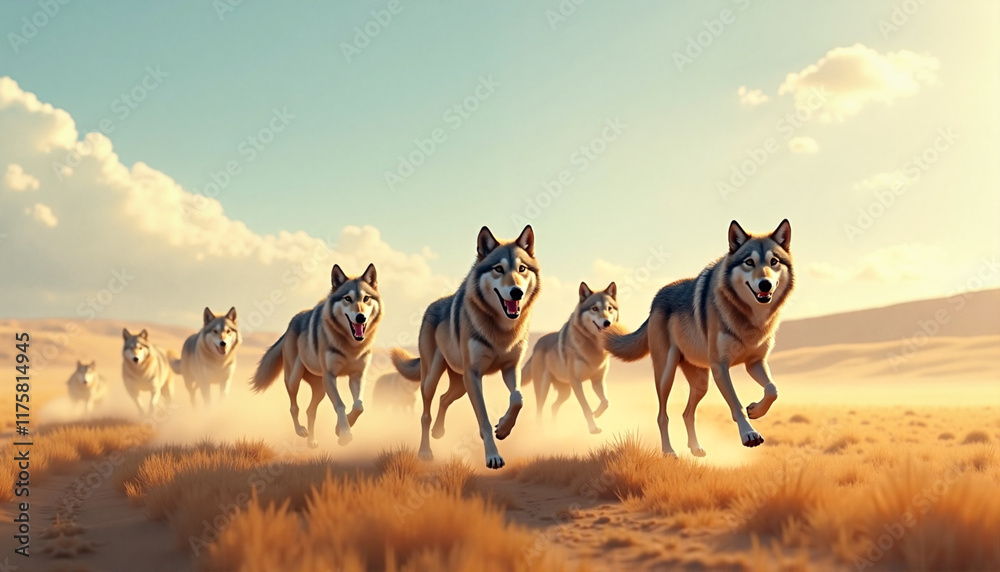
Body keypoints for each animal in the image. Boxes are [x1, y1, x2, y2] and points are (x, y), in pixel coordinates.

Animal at [251, 264, 381, 447]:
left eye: (366, 298)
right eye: (347, 298)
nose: (361, 317)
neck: (351, 346)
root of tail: (290, 324)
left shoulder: (357, 376)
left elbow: (358, 406)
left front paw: (339, 428)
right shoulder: (330, 376)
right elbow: (340, 405)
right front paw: (345, 434)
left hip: (320, 389)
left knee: (310, 410)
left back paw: (311, 441)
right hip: (294, 379)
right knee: (294, 407)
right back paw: (300, 431)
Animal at [391, 225, 539, 469]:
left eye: (522, 268)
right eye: (498, 269)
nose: (516, 291)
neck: (502, 330)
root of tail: (431, 306)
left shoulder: (511, 368)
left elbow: (517, 399)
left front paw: (503, 428)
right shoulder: (474, 375)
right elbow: (484, 420)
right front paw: (493, 456)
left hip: (460, 385)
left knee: (444, 398)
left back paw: (439, 431)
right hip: (433, 379)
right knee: (425, 414)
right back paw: (425, 451)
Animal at [521, 281, 618, 434]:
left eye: (609, 308)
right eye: (594, 308)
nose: (607, 322)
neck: (593, 346)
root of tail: (537, 344)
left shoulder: (597, 381)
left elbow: (606, 402)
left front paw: (596, 413)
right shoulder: (576, 382)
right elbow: (585, 407)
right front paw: (593, 427)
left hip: (565, 392)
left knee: (553, 406)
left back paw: (554, 429)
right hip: (544, 389)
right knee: (539, 411)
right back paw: (541, 432)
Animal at [604, 220, 794, 456]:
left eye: (773, 261)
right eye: (749, 262)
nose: (765, 284)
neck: (751, 318)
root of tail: (655, 301)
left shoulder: (754, 362)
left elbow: (772, 390)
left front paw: (756, 410)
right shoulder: (720, 366)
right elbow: (736, 405)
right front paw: (749, 434)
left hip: (702, 383)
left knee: (687, 413)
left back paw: (695, 448)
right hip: (666, 376)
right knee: (662, 416)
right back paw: (669, 451)